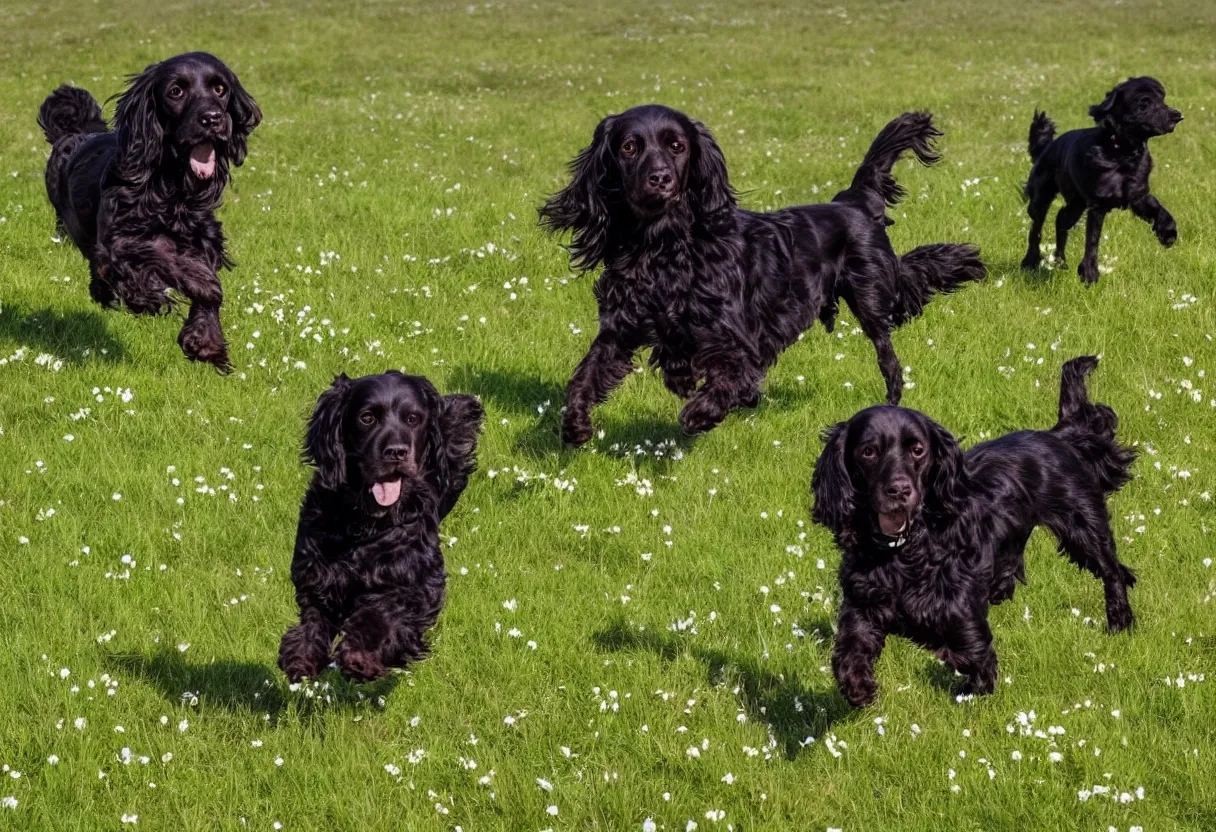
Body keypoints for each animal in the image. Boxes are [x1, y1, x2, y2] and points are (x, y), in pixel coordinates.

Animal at [39, 50, 261, 364]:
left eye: (220, 89)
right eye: (176, 91)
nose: (213, 119)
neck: (171, 187)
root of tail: (74, 133)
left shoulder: (204, 234)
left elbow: (206, 278)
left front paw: (205, 340)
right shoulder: (123, 240)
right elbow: (180, 267)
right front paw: (152, 296)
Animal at [278, 372, 481, 681]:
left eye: (413, 418)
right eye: (367, 418)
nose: (396, 452)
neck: (367, 524)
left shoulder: (417, 585)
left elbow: (383, 614)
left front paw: (361, 656)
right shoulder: (316, 574)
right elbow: (314, 615)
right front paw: (301, 654)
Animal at [542, 104, 987, 442]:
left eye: (677, 146)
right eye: (630, 147)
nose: (660, 179)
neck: (664, 247)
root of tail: (853, 201)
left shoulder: (739, 341)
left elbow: (731, 378)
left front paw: (700, 414)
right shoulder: (622, 326)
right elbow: (587, 374)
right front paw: (574, 424)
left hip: (873, 297)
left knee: (894, 342)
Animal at [812, 357, 1133, 710]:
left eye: (918, 450)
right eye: (868, 452)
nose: (899, 490)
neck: (902, 552)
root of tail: (1058, 436)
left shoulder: (960, 611)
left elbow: (971, 650)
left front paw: (971, 682)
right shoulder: (861, 602)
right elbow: (848, 649)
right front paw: (858, 687)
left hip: (1084, 528)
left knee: (1114, 572)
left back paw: (1120, 621)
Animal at [1021, 77, 1181, 285]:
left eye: (1162, 99)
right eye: (1144, 102)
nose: (1177, 116)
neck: (1122, 152)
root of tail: (1046, 147)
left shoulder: (1137, 195)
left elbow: (1159, 210)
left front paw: (1168, 233)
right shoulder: (1098, 205)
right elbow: (1092, 239)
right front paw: (1089, 273)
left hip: (1076, 203)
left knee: (1061, 220)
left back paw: (1060, 261)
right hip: (1042, 196)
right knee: (1036, 227)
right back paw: (1030, 261)